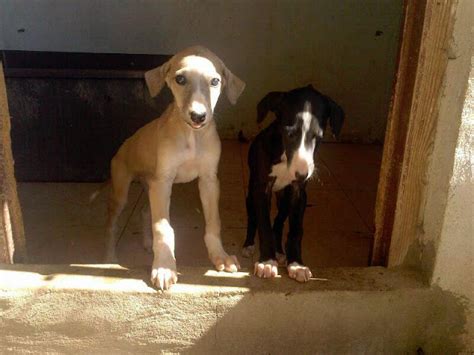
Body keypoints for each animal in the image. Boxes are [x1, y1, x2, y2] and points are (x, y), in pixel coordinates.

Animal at [243, 85, 342, 282]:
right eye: (289, 134)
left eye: (318, 137)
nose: (302, 174)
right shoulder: (261, 189)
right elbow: (264, 224)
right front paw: (267, 261)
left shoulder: (298, 193)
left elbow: (296, 230)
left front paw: (296, 264)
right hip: (251, 195)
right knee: (253, 218)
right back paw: (249, 245)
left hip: (284, 199)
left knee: (279, 221)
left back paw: (280, 252)